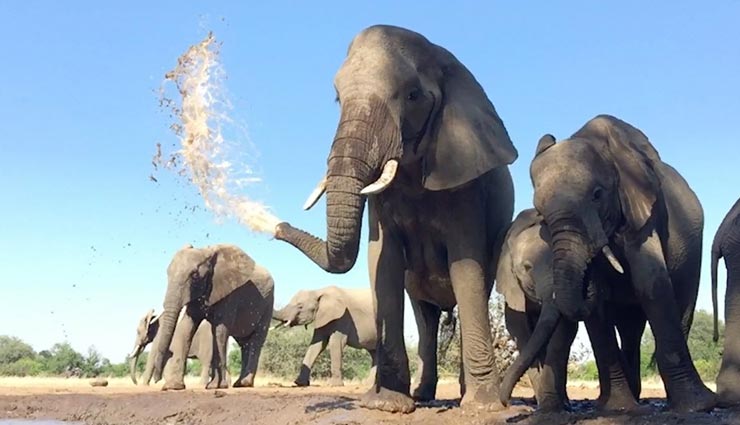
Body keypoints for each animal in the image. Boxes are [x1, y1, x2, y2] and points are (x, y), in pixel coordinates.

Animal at [149, 243, 275, 390]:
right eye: (167, 273)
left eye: (195, 275)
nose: (157, 380)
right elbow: (187, 327)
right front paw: (173, 386)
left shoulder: (230, 293)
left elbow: (220, 330)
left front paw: (216, 386)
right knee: (244, 344)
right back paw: (239, 384)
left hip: (268, 303)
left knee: (256, 340)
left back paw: (245, 383)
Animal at [273, 25, 517, 413]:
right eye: (337, 99)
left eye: (413, 96)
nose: (277, 227)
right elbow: (382, 260)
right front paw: (387, 404)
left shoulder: (465, 184)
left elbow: (466, 267)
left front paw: (484, 409)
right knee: (425, 315)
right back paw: (423, 395)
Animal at [520, 114, 714, 413]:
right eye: (540, 213)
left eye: (597, 195)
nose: (587, 278)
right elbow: (598, 309)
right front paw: (618, 409)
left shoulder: (644, 213)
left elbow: (652, 283)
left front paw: (697, 407)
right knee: (630, 328)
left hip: (693, 250)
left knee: (681, 306)